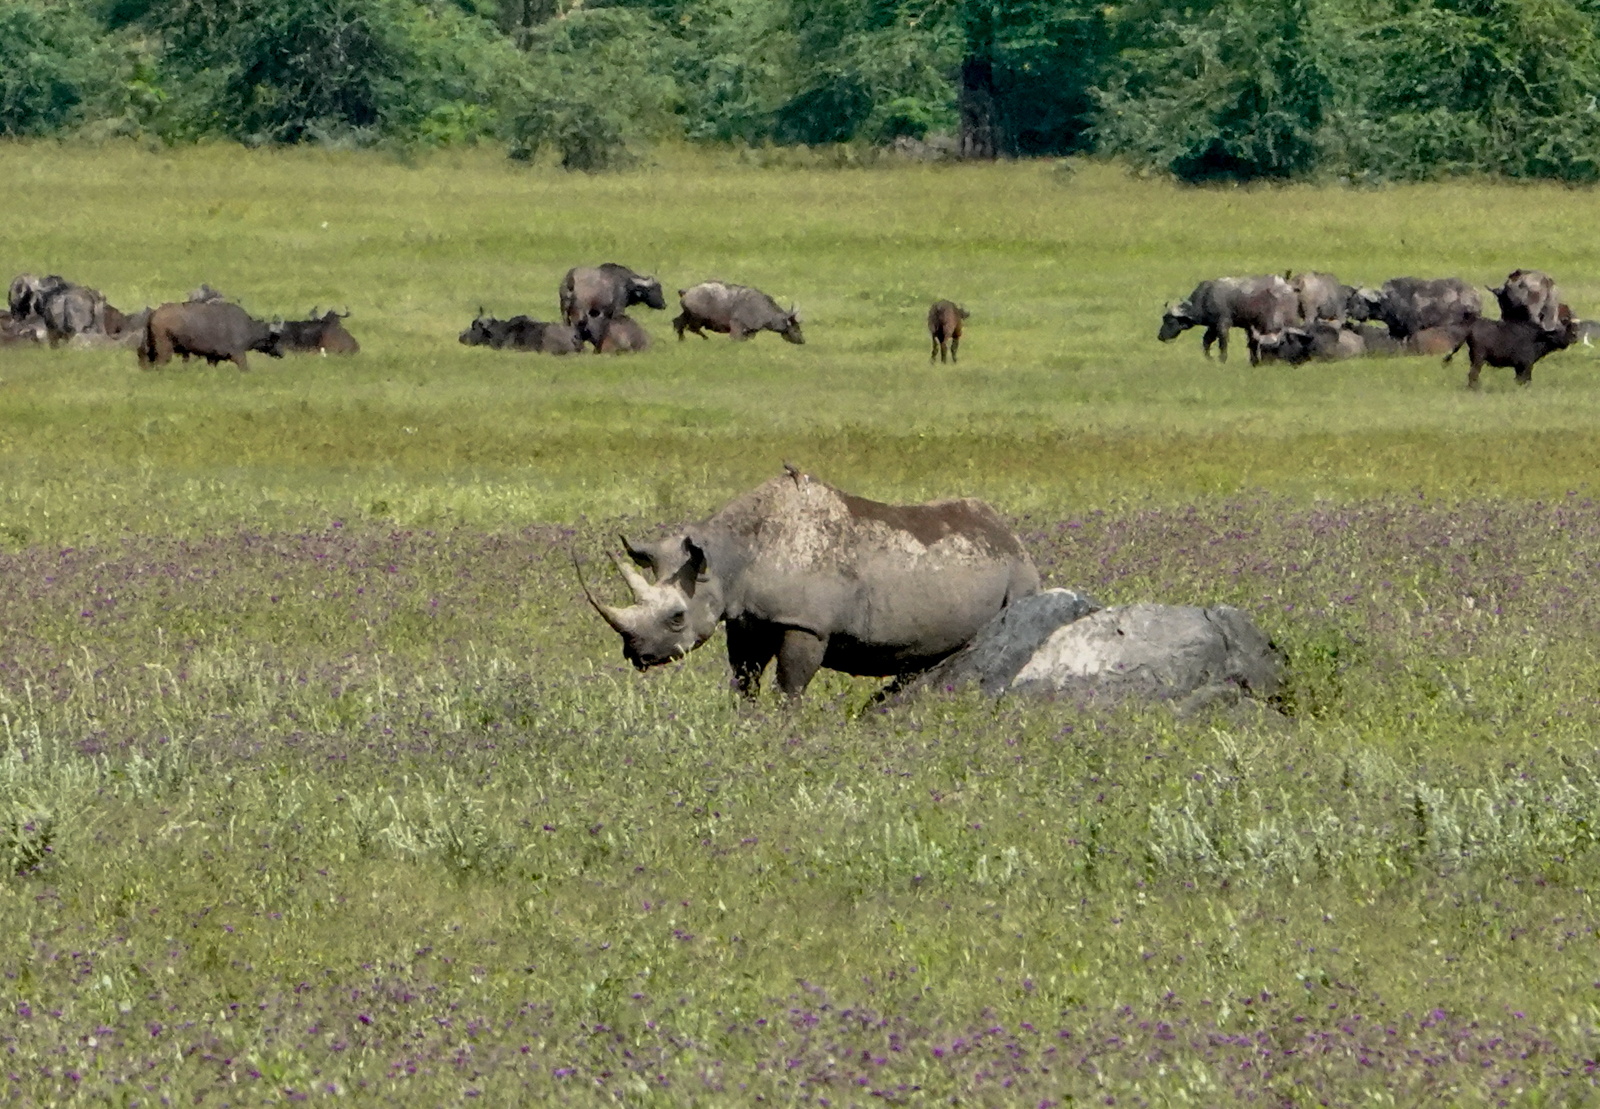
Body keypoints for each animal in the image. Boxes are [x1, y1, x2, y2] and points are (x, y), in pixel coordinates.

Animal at [577, 469, 1040, 697]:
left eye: (676, 617)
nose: (636, 654)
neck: (729, 557)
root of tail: (1012, 537)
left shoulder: (805, 622)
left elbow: (790, 685)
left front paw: (784, 736)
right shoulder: (745, 618)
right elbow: (743, 678)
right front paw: (745, 727)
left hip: (1019, 577)